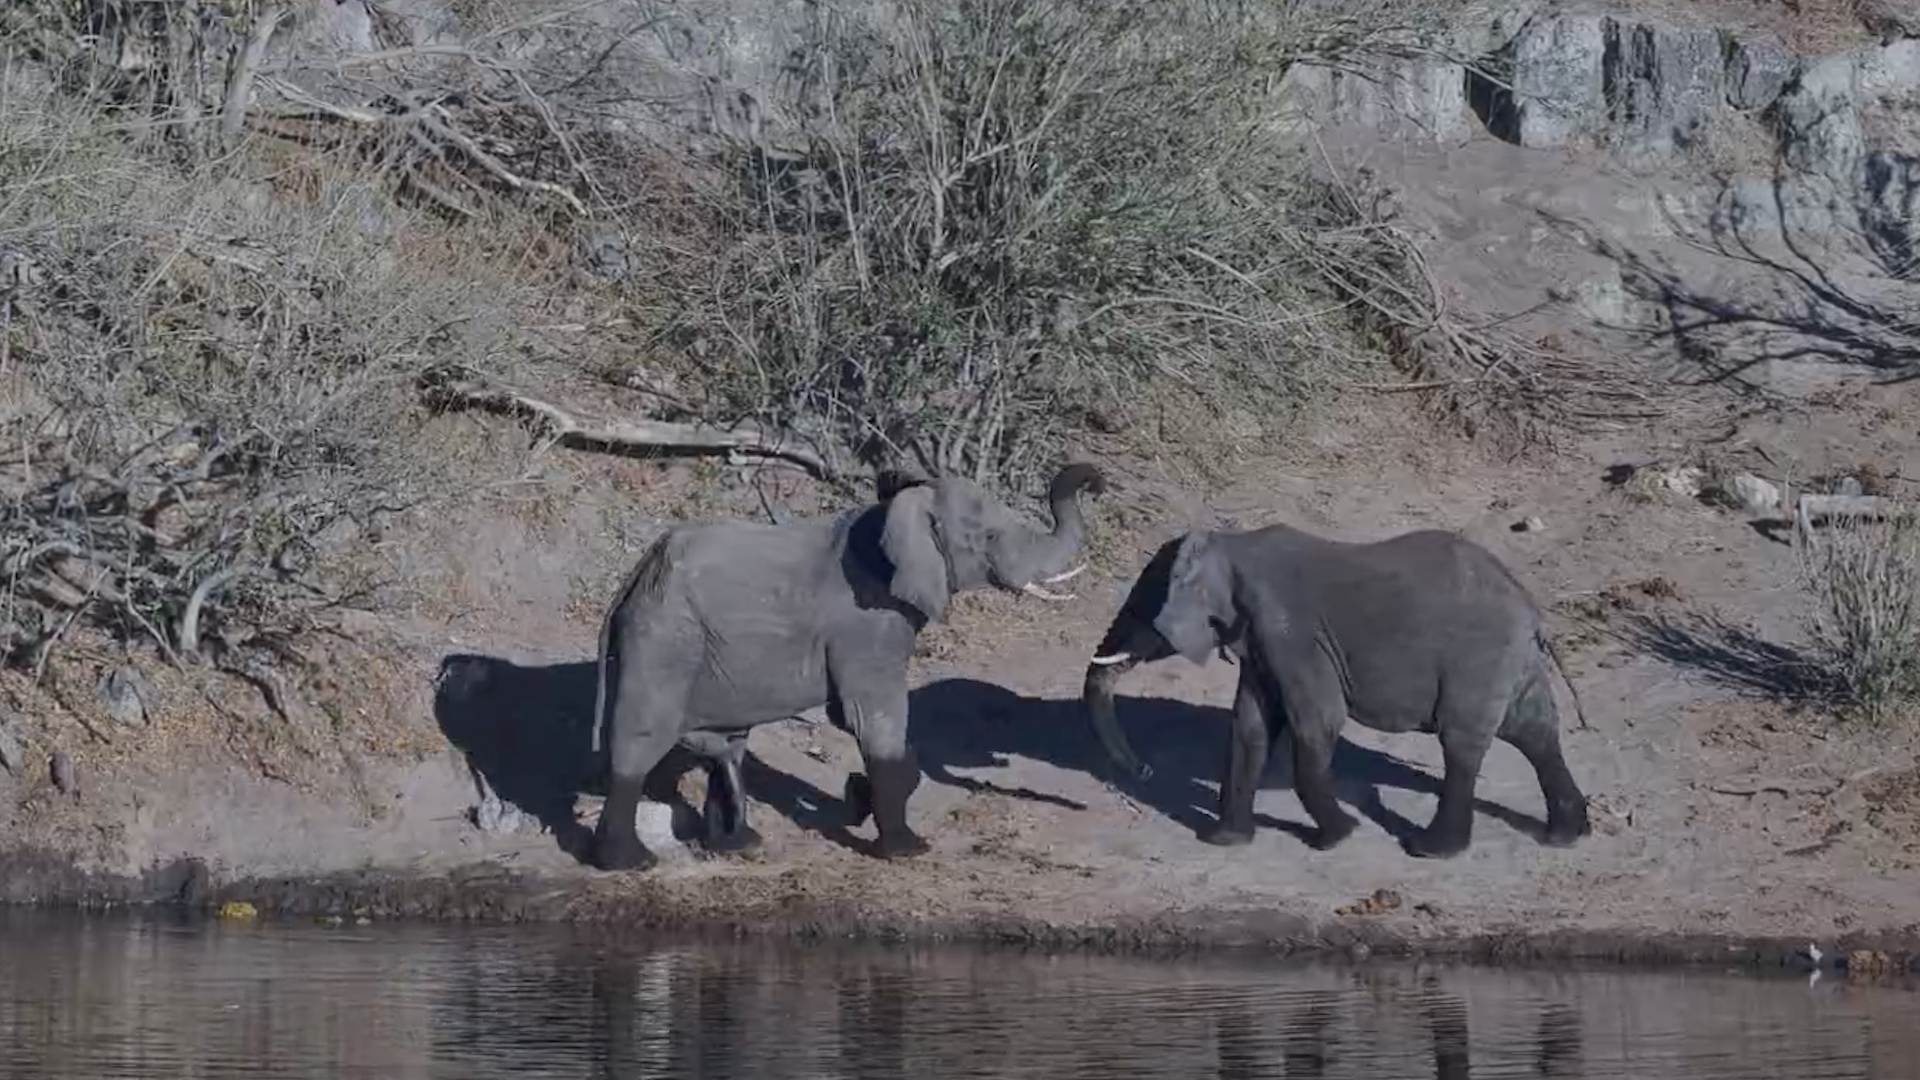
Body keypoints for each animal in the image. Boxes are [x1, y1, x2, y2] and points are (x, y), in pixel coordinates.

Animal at [590, 461, 1110, 871]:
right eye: (989, 537)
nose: (1098, 481)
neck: (897, 512)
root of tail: (635, 576)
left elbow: (855, 720)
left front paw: (857, 799)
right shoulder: (868, 622)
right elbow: (874, 717)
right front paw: (906, 850)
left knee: (725, 743)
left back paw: (739, 845)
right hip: (666, 640)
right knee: (641, 739)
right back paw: (629, 864)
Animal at [1081, 523, 1592, 859]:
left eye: (1142, 610)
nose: (1142, 770)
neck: (1230, 543)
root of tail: (1532, 611)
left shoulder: (1290, 632)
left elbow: (1318, 721)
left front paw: (1340, 836)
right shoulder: (1261, 638)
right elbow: (1251, 726)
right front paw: (1225, 842)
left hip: (1479, 658)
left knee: (1462, 741)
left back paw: (1428, 849)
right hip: (1511, 661)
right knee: (1535, 733)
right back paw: (1565, 836)